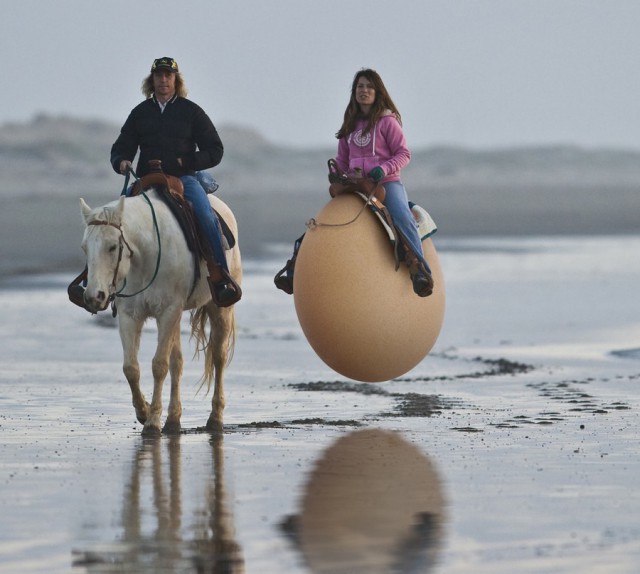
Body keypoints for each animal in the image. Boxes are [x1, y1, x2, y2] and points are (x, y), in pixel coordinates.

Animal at [79, 190, 241, 436]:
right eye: (85, 248)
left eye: (112, 246)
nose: (93, 297)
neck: (145, 254)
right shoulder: (130, 315)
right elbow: (131, 368)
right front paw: (143, 412)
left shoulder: (168, 311)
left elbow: (159, 366)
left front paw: (153, 421)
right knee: (178, 363)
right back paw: (173, 420)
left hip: (219, 308)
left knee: (218, 357)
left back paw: (215, 419)